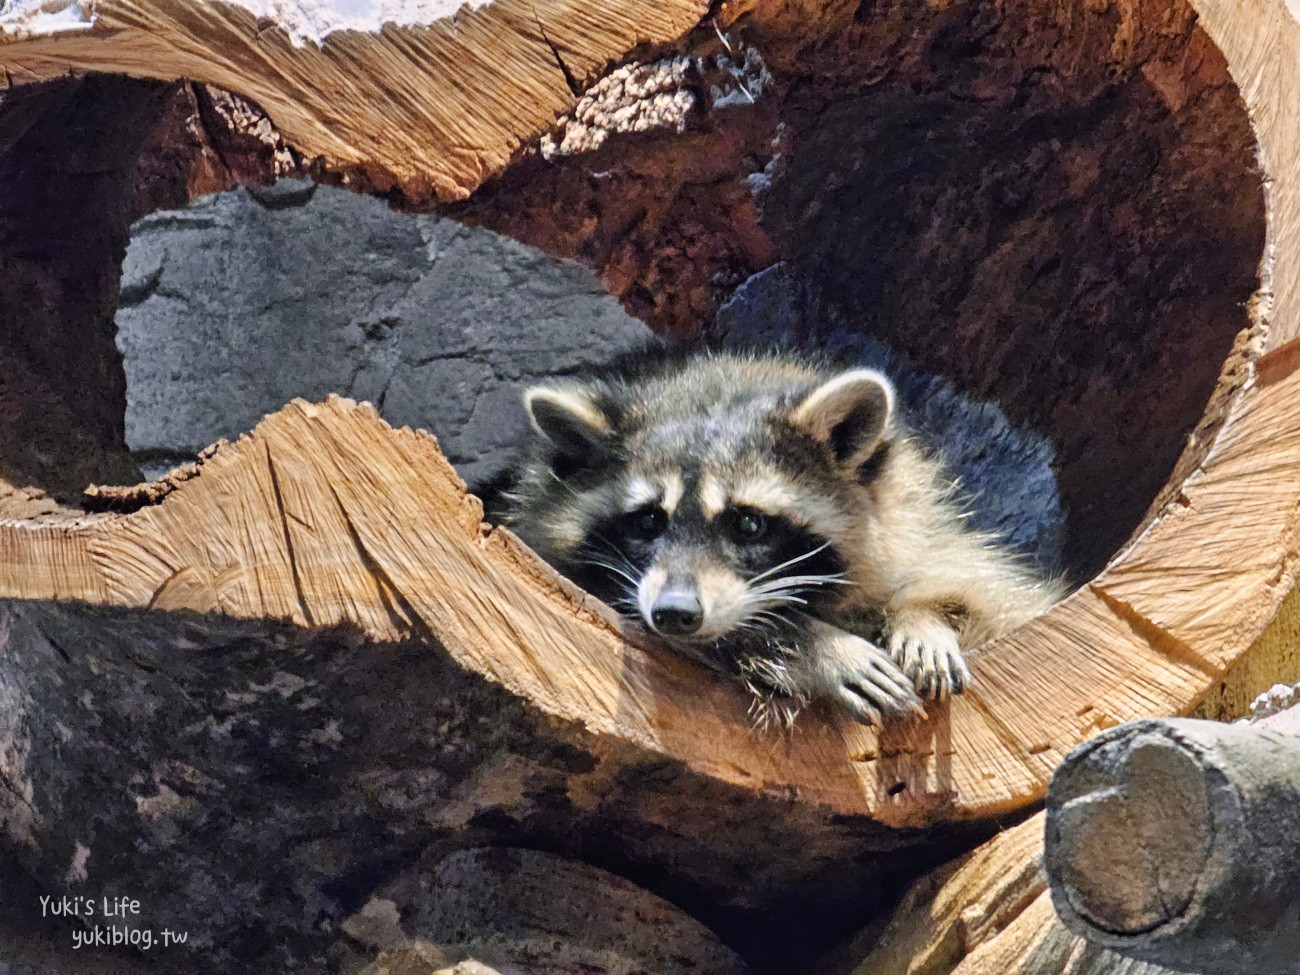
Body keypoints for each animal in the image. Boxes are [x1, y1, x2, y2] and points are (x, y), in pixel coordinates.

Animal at [501, 348, 1060, 728]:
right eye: (647, 522)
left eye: (748, 523)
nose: (675, 614)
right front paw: (814, 643)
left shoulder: (927, 530)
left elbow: (994, 602)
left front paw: (924, 617)